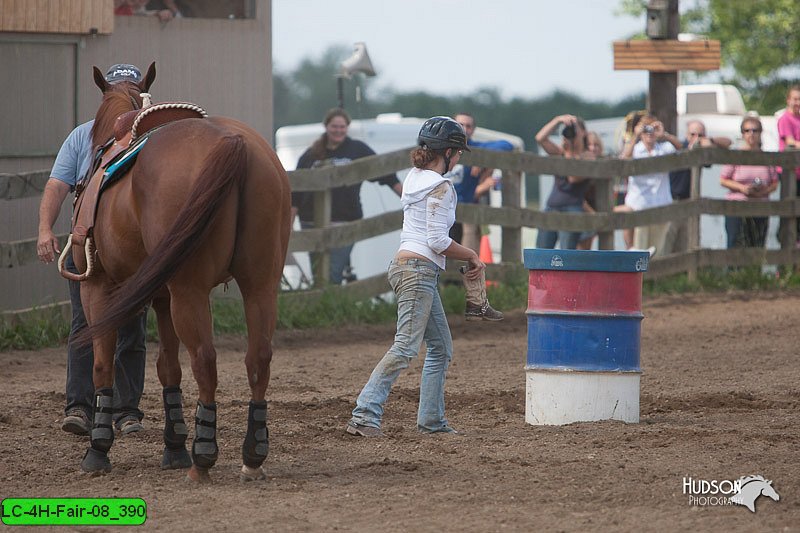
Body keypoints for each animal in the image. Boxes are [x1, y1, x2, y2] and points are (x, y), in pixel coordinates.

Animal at [66, 63, 290, 482]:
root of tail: (233, 142)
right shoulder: (160, 295)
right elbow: (168, 366)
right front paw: (173, 445)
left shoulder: (98, 287)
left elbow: (103, 363)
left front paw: (98, 449)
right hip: (260, 285)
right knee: (258, 357)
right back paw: (253, 456)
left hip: (190, 289)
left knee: (205, 358)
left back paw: (204, 457)